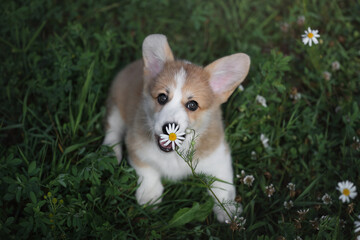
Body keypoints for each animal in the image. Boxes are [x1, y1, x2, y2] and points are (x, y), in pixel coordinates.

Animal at [103, 34, 250, 222]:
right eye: (162, 97)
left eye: (192, 105)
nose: (169, 128)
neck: (174, 155)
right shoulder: (136, 147)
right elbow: (148, 170)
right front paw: (150, 195)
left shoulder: (219, 156)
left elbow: (222, 185)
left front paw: (228, 211)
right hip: (116, 107)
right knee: (112, 129)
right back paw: (109, 152)